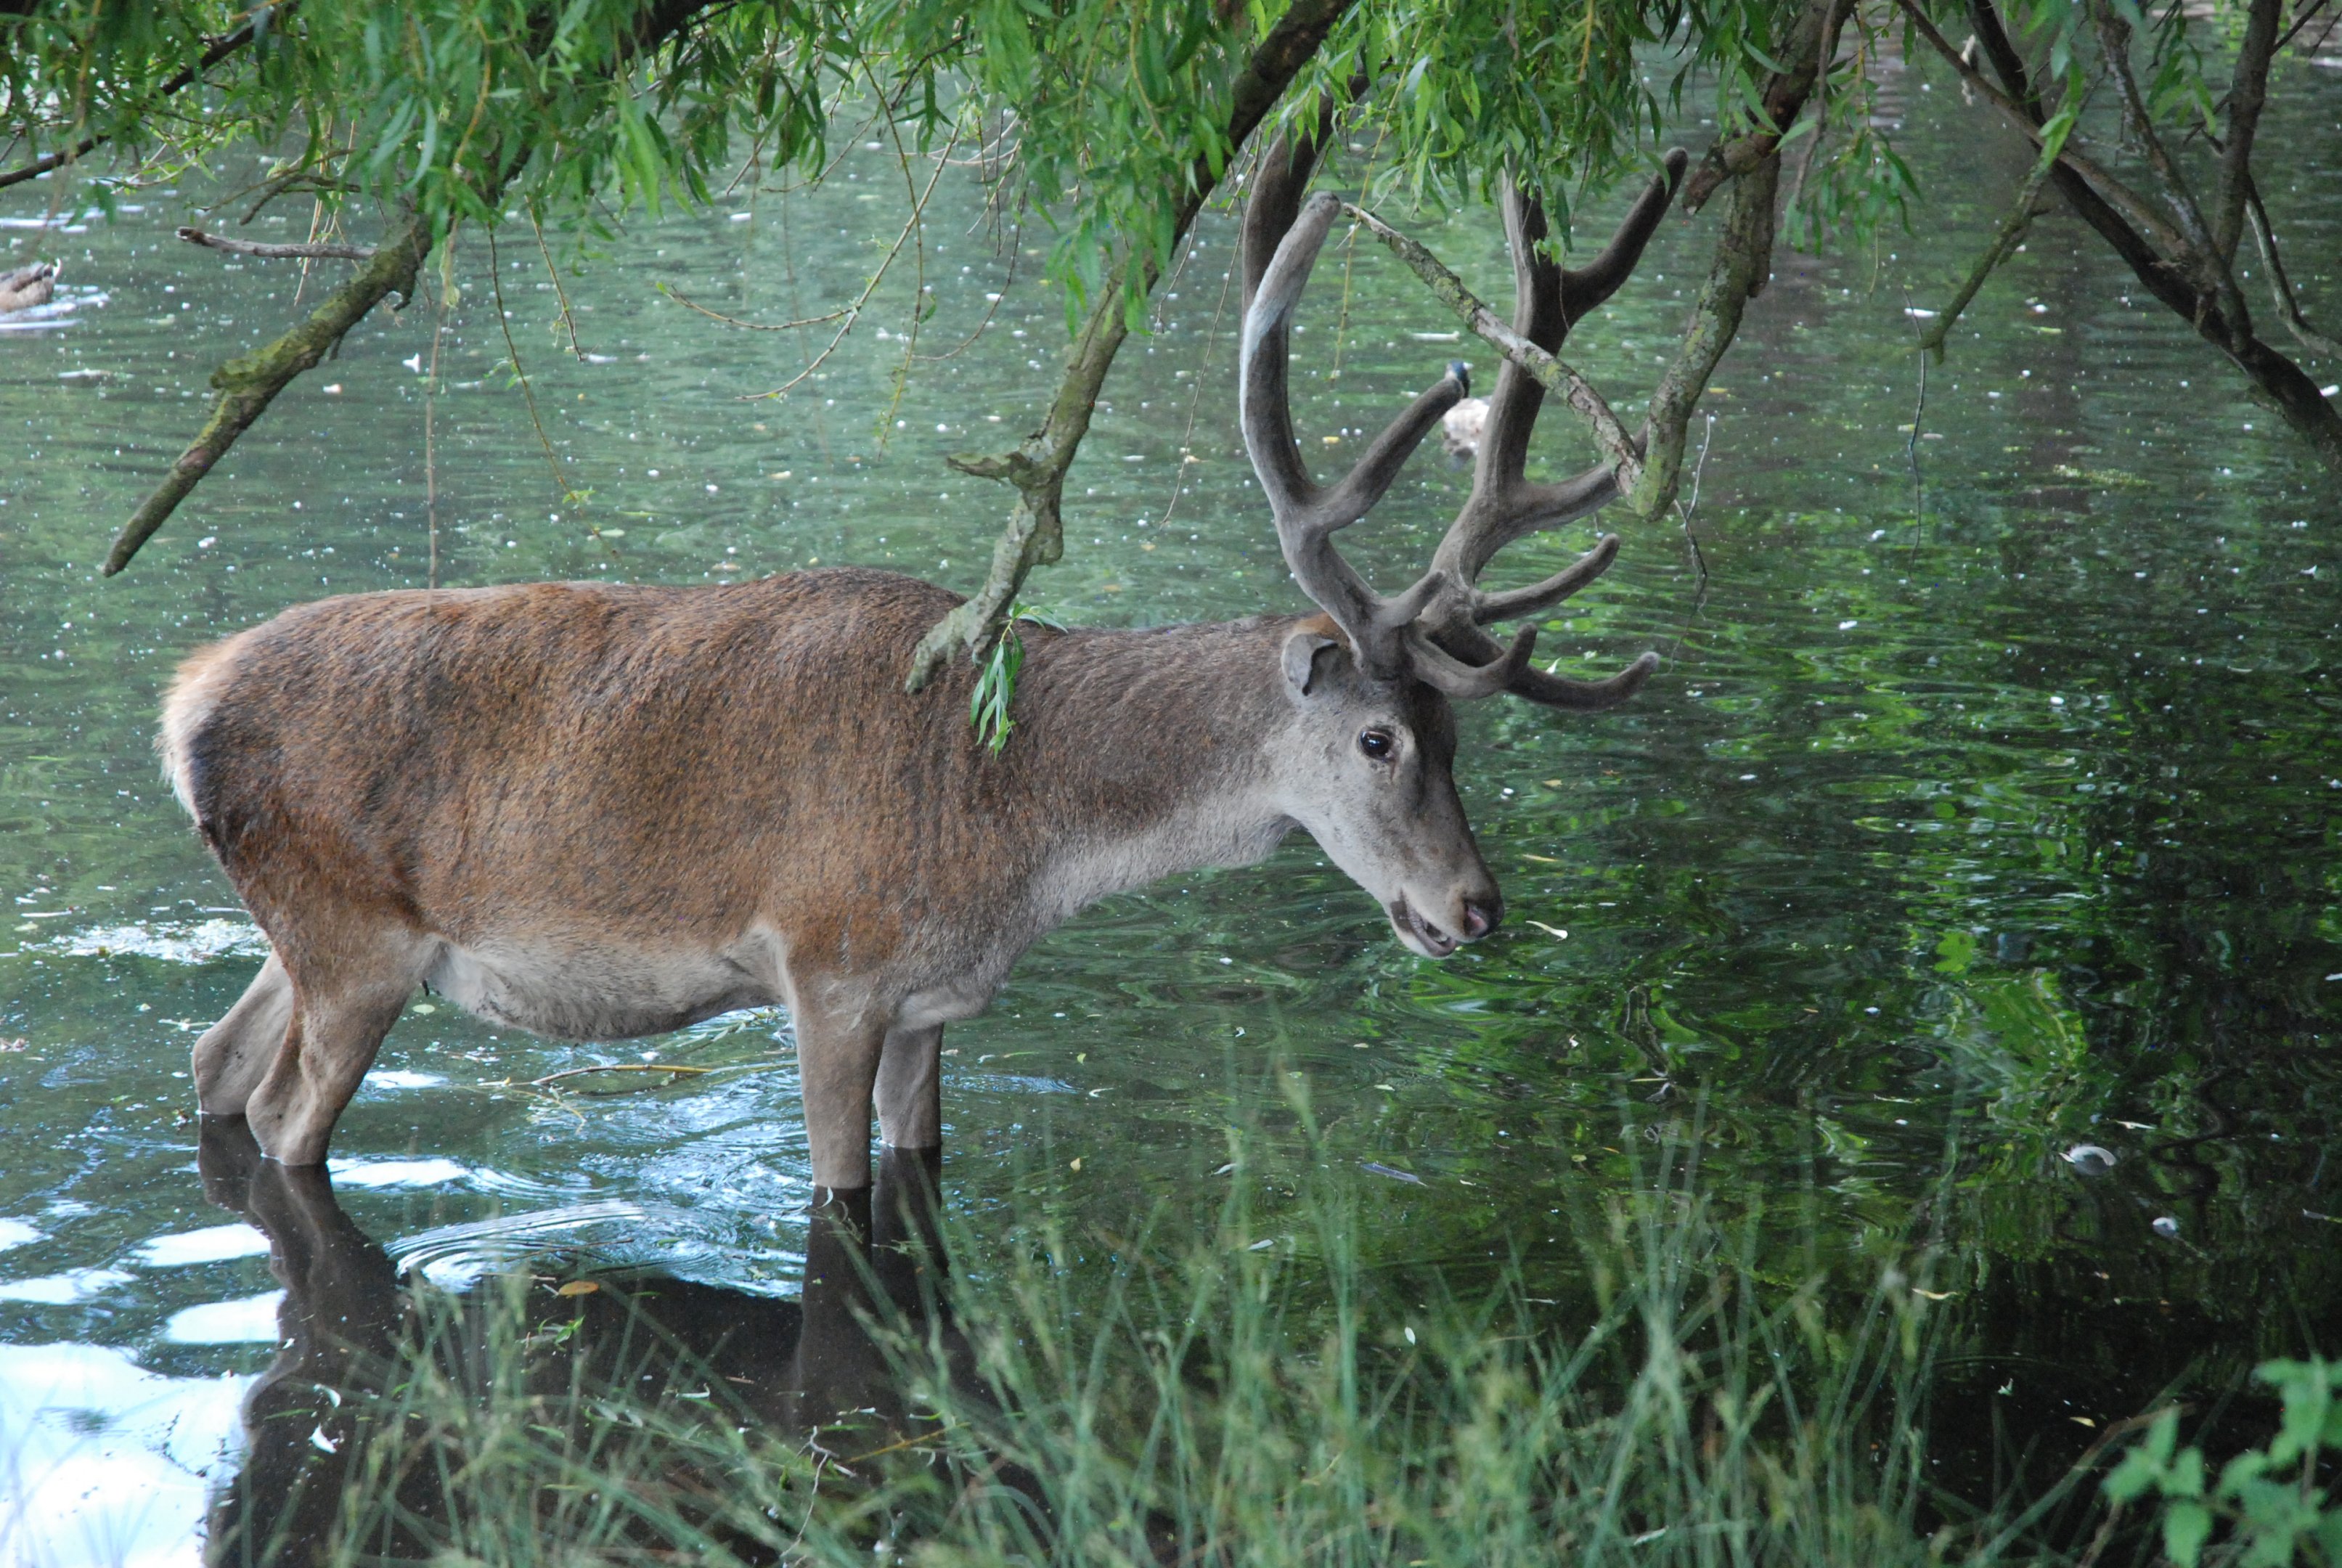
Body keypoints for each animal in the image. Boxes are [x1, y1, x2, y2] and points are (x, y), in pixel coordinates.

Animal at [160, 125, 1683, 1195]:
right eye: (1380, 738)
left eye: (1460, 735)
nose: (1475, 908)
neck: (1009, 835)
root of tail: (182, 708)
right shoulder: (827, 964)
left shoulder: (932, 1004)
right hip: (353, 940)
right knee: (287, 1112)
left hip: (303, 934)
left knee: (216, 1060)